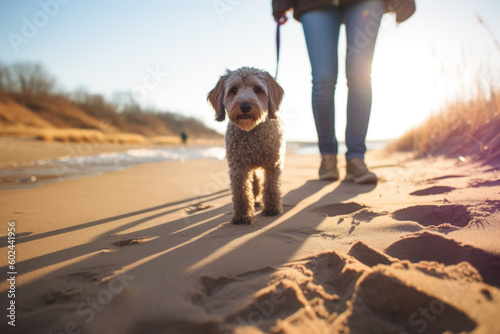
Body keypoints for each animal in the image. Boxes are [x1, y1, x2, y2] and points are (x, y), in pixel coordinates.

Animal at [207, 67, 286, 224]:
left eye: (257, 89)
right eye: (234, 90)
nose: (245, 106)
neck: (252, 130)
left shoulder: (273, 163)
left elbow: (271, 187)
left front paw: (272, 209)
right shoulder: (238, 166)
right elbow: (241, 191)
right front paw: (243, 215)